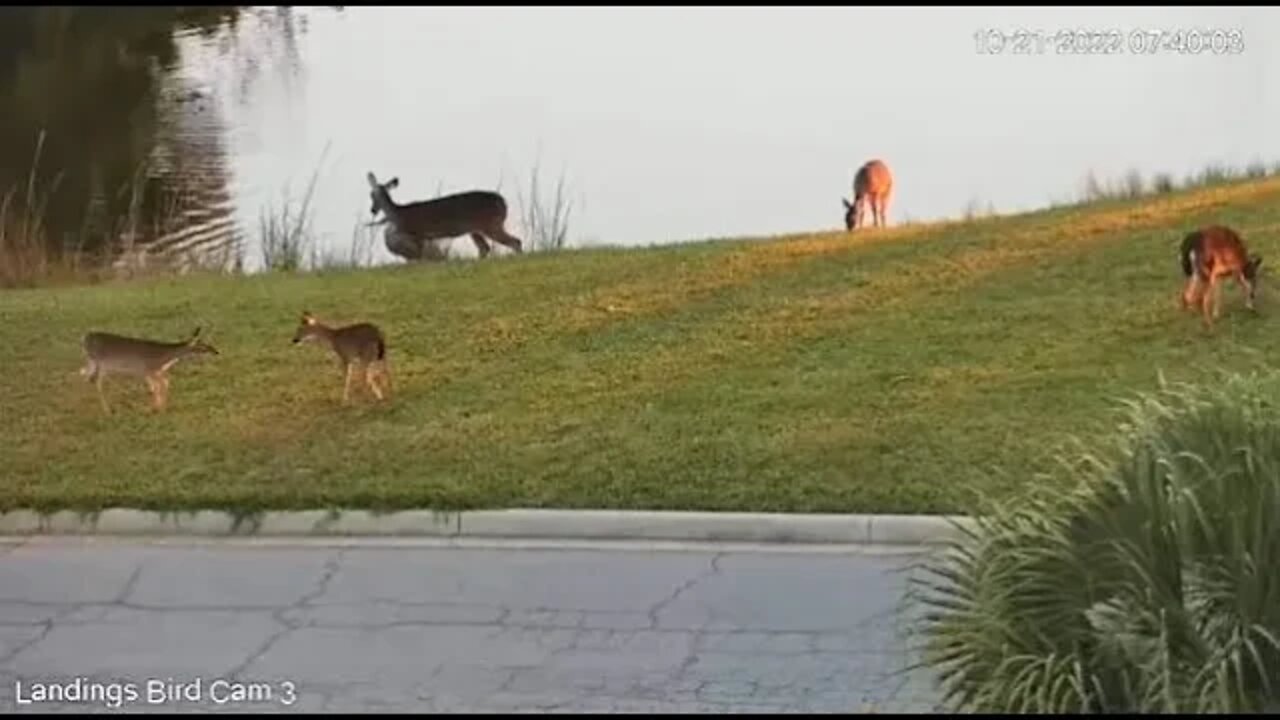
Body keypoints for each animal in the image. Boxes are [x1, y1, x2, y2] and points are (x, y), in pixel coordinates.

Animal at [77, 324, 218, 412]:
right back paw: (108, 411)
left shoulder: (152, 372)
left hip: (93, 363)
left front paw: (159, 407)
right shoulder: (149, 369)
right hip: (102, 364)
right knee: (96, 382)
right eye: (202, 346)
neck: (165, 358)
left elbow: (161, 384)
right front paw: (157, 409)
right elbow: (158, 386)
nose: (216, 352)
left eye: (206, 343)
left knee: (85, 376)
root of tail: (85, 338)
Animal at [363, 170, 522, 260]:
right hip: (475, 229)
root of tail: (503, 202)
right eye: (371, 194)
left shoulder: (418, 232)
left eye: (376, 195)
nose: (372, 210)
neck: (399, 214)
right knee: (485, 248)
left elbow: (420, 256)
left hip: (490, 223)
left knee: (515, 241)